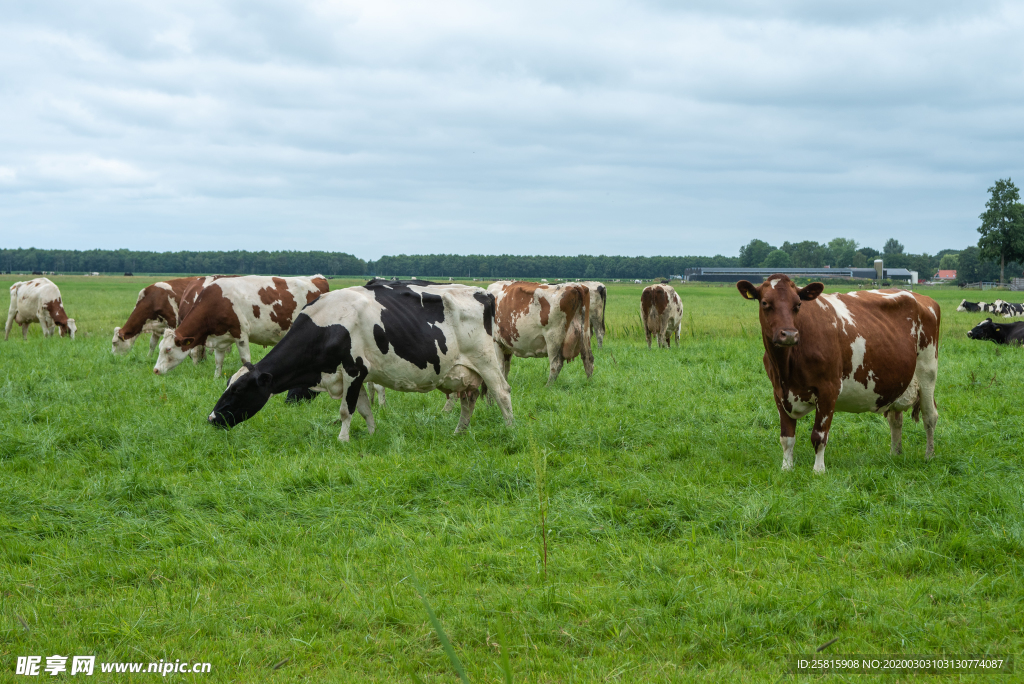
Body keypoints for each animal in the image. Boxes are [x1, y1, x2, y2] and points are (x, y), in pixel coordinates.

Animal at [153, 274, 327, 378]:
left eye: (168, 349)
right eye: (160, 347)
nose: (155, 370)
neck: (217, 301)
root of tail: (317, 278)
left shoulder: (241, 334)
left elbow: (245, 359)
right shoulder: (220, 338)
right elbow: (218, 360)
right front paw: (216, 378)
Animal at [207, 280, 512, 440]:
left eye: (238, 390)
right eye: (228, 386)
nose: (211, 418)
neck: (328, 325)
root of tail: (484, 292)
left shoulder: (353, 370)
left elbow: (346, 410)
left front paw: (342, 440)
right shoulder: (354, 375)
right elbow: (365, 409)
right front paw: (372, 434)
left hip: (486, 361)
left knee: (502, 393)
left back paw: (511, 431)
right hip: (465, 372)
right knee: (468, 400)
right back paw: (459, 433)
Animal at [737, 274, 942, 473]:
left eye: (798, 304)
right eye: (765, 303)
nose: (788, 334)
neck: (786, 367)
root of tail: (921, 297)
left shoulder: (828, 390)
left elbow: (819, 436)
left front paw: (818, 470)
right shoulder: (779, 392)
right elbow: (787, 438)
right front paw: (787, 468)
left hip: (927, 371)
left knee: (930, 416)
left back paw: (930, 456)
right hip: (897, 381)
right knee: (895, 419)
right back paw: (895, 454)